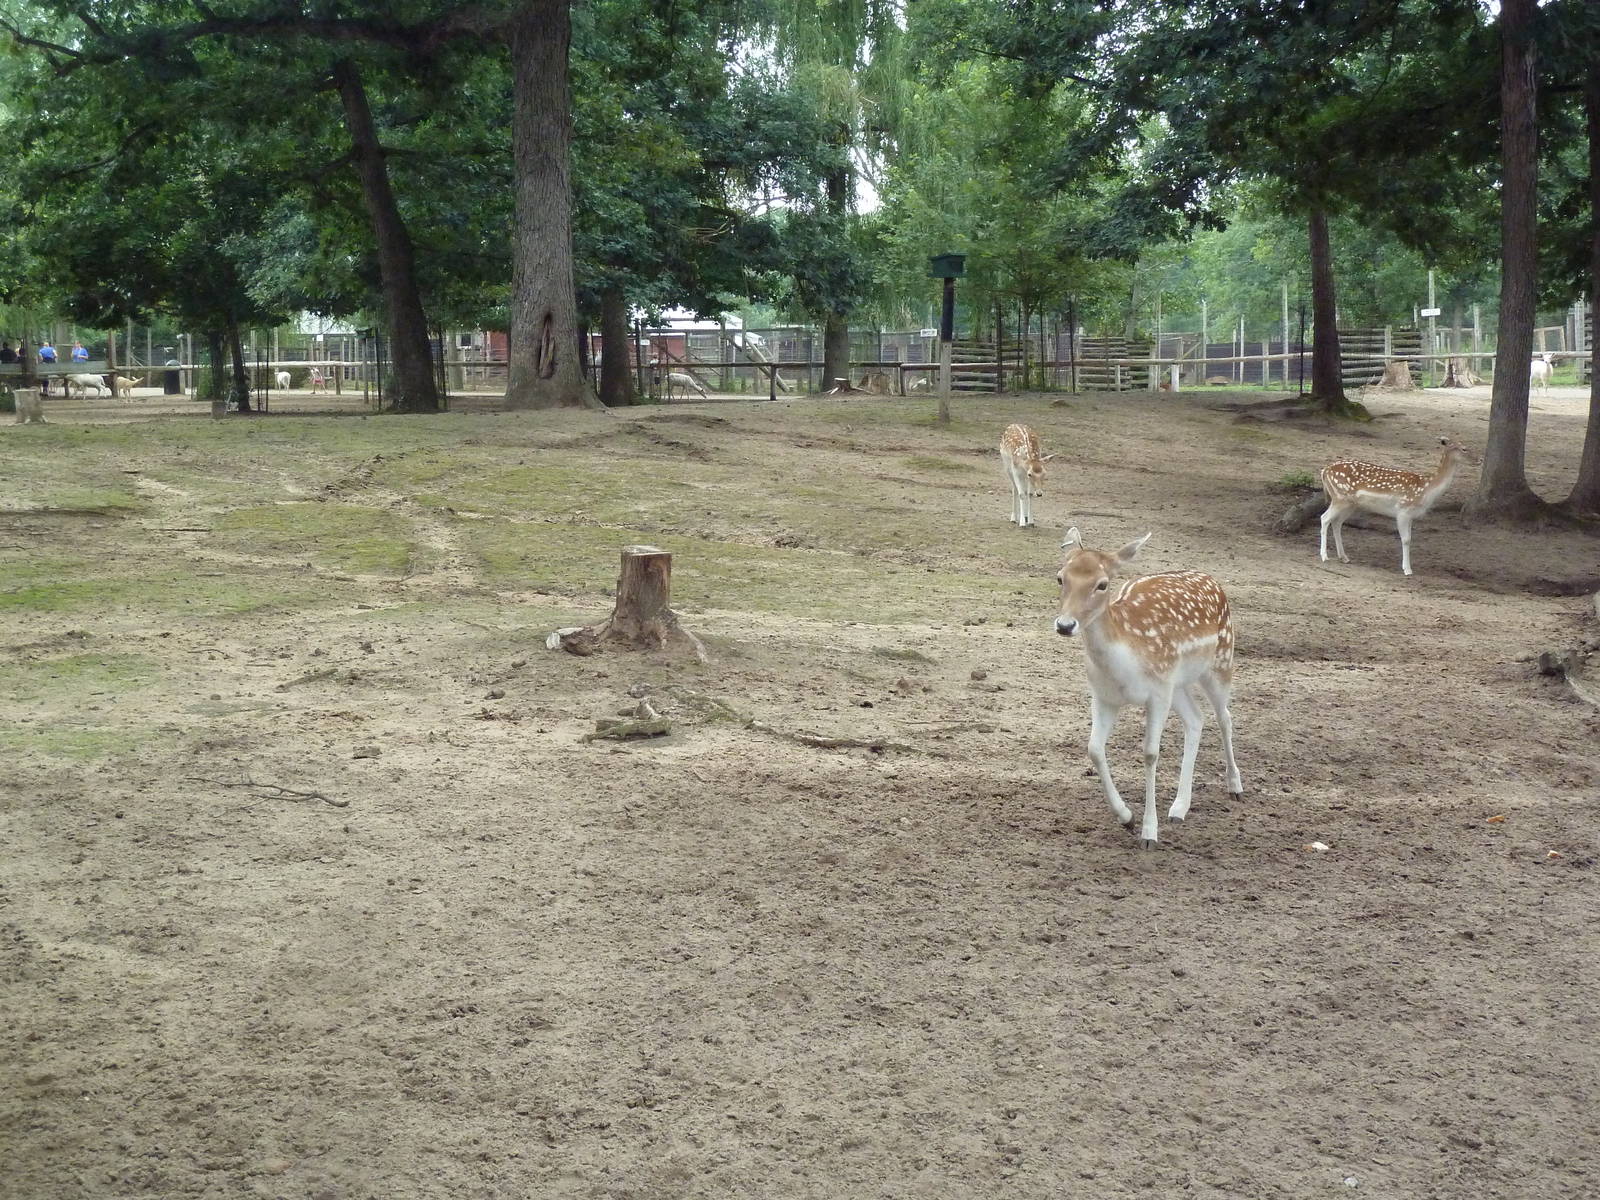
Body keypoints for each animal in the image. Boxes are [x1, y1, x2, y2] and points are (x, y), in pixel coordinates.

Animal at [1054, 527, 1243, 848]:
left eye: (1102, 584)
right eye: (1060, 577)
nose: (1065, 625)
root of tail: (1213, 580)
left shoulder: (1157, 694)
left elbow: (1150, 754)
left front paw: (1149, 833)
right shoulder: (1104, 696)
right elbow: (1094, 749)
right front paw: (1126, 817)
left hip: (1220, 662)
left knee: (1224, 717)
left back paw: (1235, 786)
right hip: (1177, 685)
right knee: (1196, 719)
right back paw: (1179, 808)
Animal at [1318, 437, 1479, 576]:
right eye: (1464, 449)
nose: (1478, 459)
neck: (1426, 489)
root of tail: (1324, 470)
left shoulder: (1411, 515)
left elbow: (1410, 538)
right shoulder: (1403, 511)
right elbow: (1405, 539)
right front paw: (1407, 570)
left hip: (1350, 504)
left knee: (1337, 522)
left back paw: (1344, 557)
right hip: (1340, 497)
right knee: (1324, 518)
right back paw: (1324, 556)